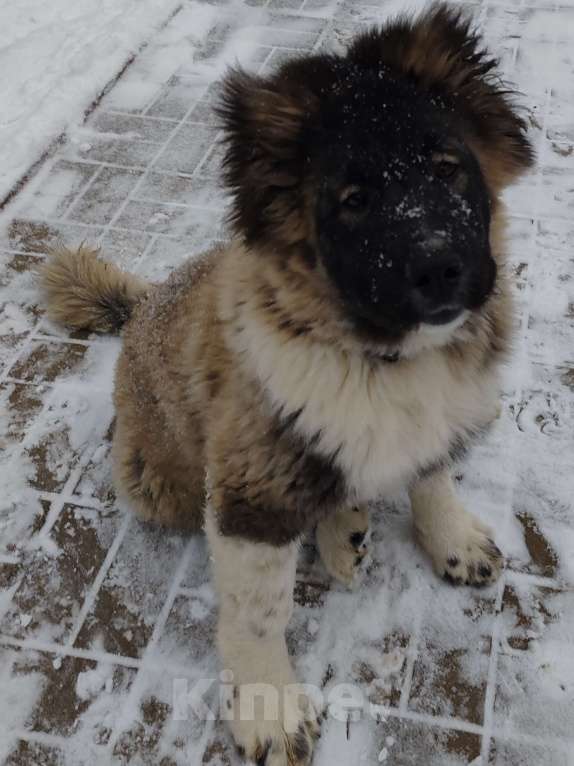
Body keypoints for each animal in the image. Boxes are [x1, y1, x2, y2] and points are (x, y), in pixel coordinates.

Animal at [41, 7, 536, 766]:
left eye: (450, 170)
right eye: (354, 201)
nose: (440, 269)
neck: (378, 357)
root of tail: (145, 301)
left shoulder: (439, 416)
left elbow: (432, 475)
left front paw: (451, 539)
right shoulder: (251, 489)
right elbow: (257, 612)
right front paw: (269, 708)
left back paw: (346, 528)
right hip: (158, 482)